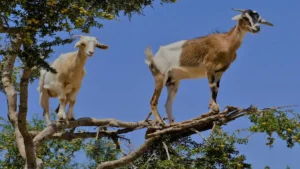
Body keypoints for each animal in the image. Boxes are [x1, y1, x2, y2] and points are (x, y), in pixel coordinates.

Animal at [145, 8, 274, 125]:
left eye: (258, 18)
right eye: (245, 17)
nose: (257, 28)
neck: (226, 42)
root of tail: (152, 60)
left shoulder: (220, 71)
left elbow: (216, 88)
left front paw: (213, 108)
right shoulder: (209, 67)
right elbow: (212, 86)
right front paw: (214, 108)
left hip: (173, 82)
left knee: (167, 104)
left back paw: (173, 124)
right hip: (160, 76)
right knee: (153, 101)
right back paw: (161, 123)